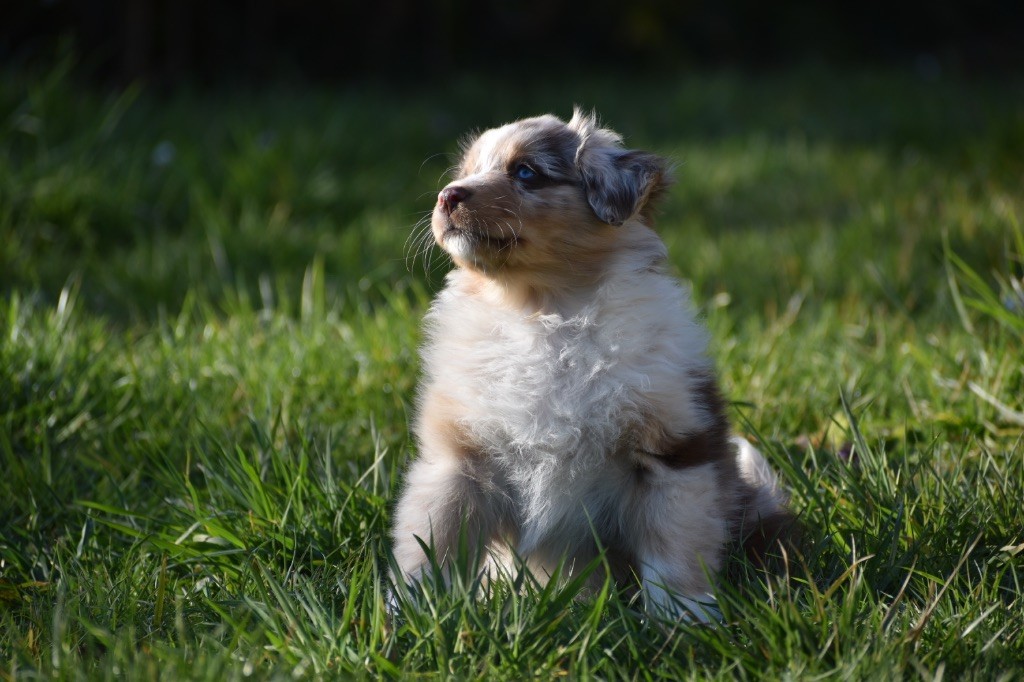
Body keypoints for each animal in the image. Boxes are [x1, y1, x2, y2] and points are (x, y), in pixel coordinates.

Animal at [391, 109, 790, 621]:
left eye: (526, 172)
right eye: (466, 171)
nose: (447, 195)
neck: (544, 313)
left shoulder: (673, 454)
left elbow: (674, 551)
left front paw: (683, 619)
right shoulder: (459, 460)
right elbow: (429, 544)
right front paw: (411, 616)